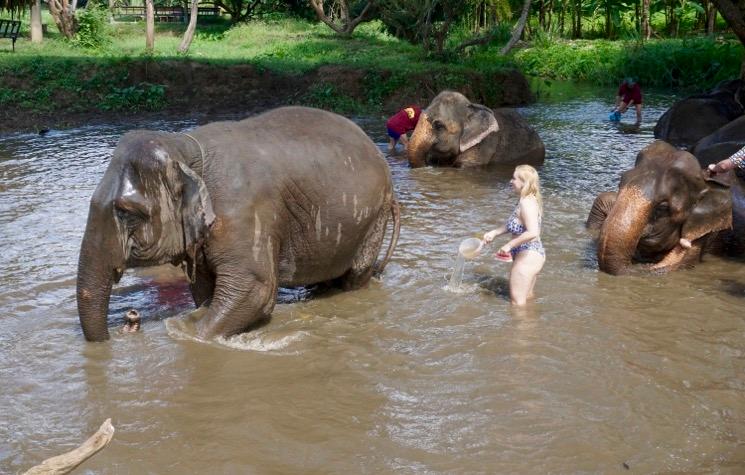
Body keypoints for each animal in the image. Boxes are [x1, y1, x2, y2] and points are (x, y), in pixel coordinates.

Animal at [76, 107, 402, 342]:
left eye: (127, 211)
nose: (130, 322)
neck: (186, 149)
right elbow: (204, 287)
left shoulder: (245, 212)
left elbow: (255, 288)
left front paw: (195, 336)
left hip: (373, 217)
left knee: (355, 276)